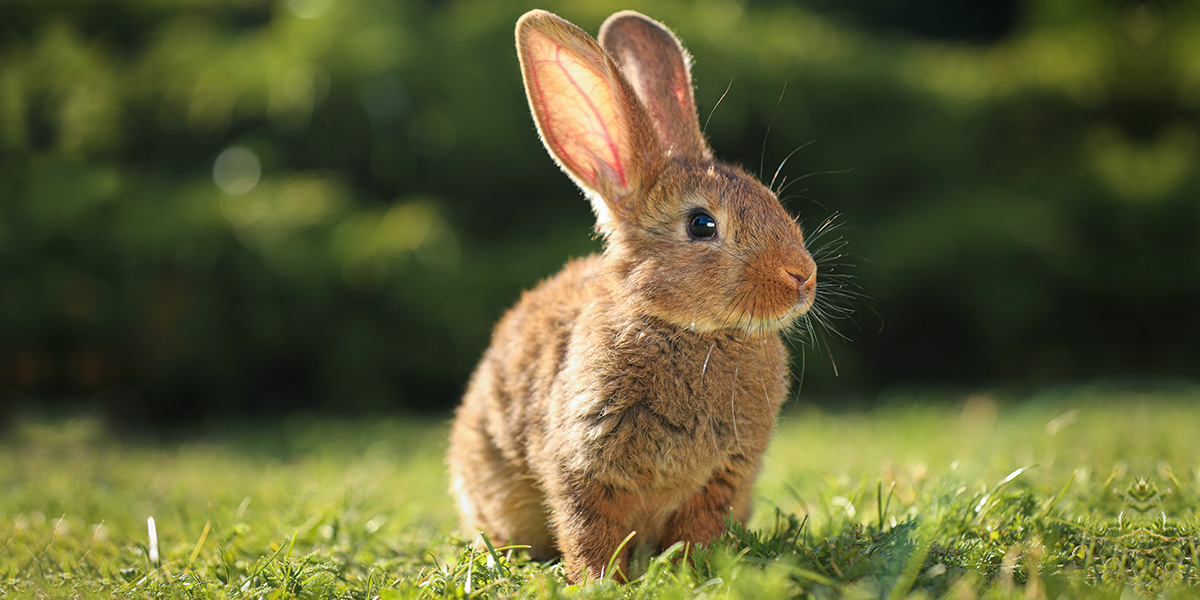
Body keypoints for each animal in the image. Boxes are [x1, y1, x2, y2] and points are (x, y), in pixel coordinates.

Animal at [446, 8, 820, 580]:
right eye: (702, 224)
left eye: (772, 201)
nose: (802, 276)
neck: (687, 328)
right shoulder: (583, 464)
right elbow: (589, 532)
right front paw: (598, 582)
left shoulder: (723, 478)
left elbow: (697, 531)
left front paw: (695, 573)